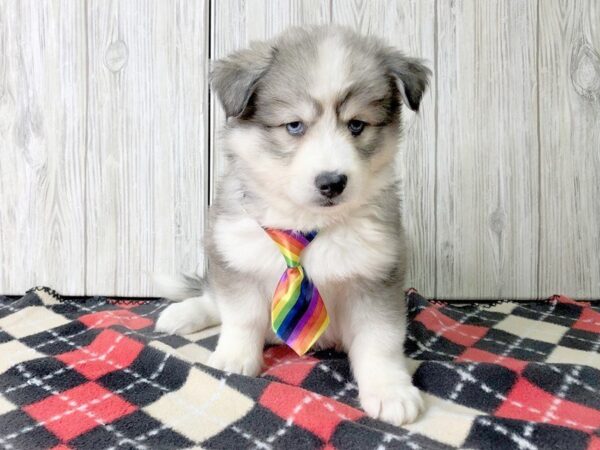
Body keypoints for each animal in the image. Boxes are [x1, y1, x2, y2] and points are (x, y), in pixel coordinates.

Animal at [157, 24, 428, 426]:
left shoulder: (377, 275)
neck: (306, 224)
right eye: (295, 125)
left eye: (357, 125)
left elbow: (380, 340)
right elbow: (241, 316)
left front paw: (390, 390)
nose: (332, 182)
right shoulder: (236, 255)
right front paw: (235, 358)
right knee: (212, 298)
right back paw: (182, 313)